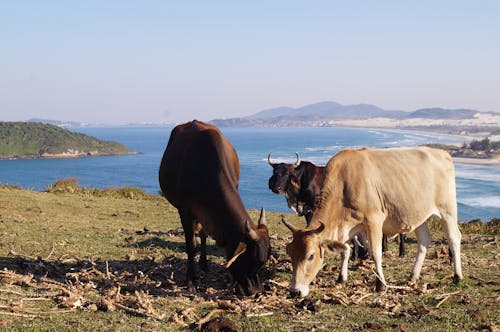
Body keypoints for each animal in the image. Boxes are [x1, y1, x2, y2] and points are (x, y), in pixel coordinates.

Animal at [159, 120, 270, 296]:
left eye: (262, 264)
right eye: (248, 259)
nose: (254, 291)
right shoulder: (184, 211)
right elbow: (191, 246)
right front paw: (192, 281)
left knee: (204, 234)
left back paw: (204, 264)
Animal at [284, 147, 462, 296]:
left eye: (310, 256)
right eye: (291, 253)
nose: (294, 291)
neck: (344, 184)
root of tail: (441, 152)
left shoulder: (374, 221)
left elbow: (376, 252)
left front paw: (380, 284)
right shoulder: (348, 227)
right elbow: (345, 251)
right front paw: (341, 278)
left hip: (448, 210)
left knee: (454, 238)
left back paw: (457, 276)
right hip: (419, 214)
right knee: (424, 241)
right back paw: (412, 277)